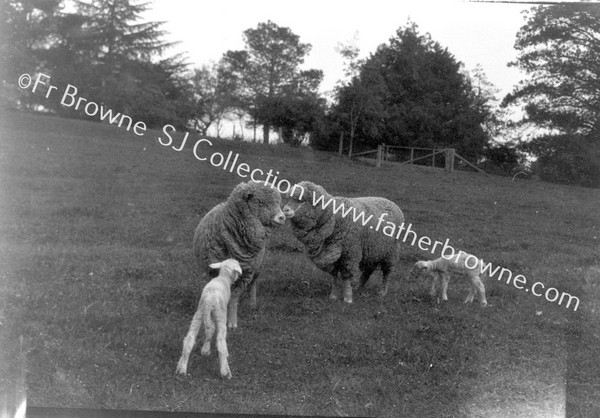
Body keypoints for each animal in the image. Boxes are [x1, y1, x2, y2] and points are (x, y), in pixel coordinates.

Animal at [192, 181, 286, 328]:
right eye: (261, 202)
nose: (282, 217)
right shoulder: (213, 270)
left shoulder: (246, 274)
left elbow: (234, 297)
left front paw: (232, 321)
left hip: (258, 268)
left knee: (252, 285)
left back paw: (252, 304)